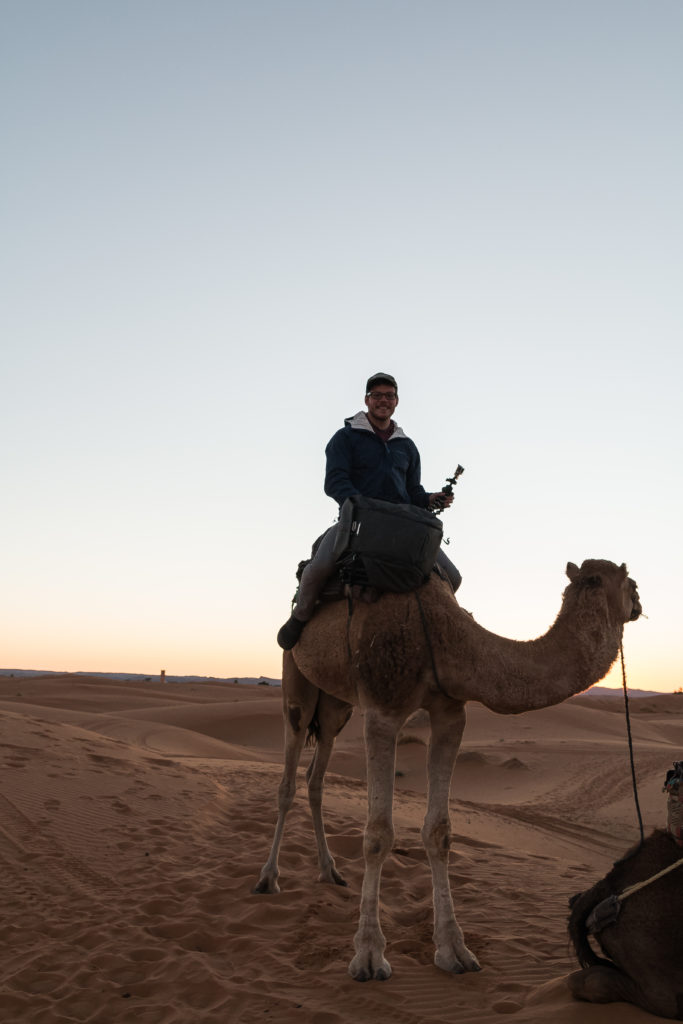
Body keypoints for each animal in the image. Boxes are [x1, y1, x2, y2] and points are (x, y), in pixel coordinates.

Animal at [255, 559, 642, 982]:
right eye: (630, 583)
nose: (639, 604)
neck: (446, 641)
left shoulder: (450, 712)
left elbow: (439, 832)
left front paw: (455, 950)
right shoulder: (382, 711)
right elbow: (377, 834)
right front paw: (369, 955)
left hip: (337, 706)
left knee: (316, 779)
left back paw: (330, 871)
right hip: (297, 682)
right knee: (288, 780)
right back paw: (268, 878)